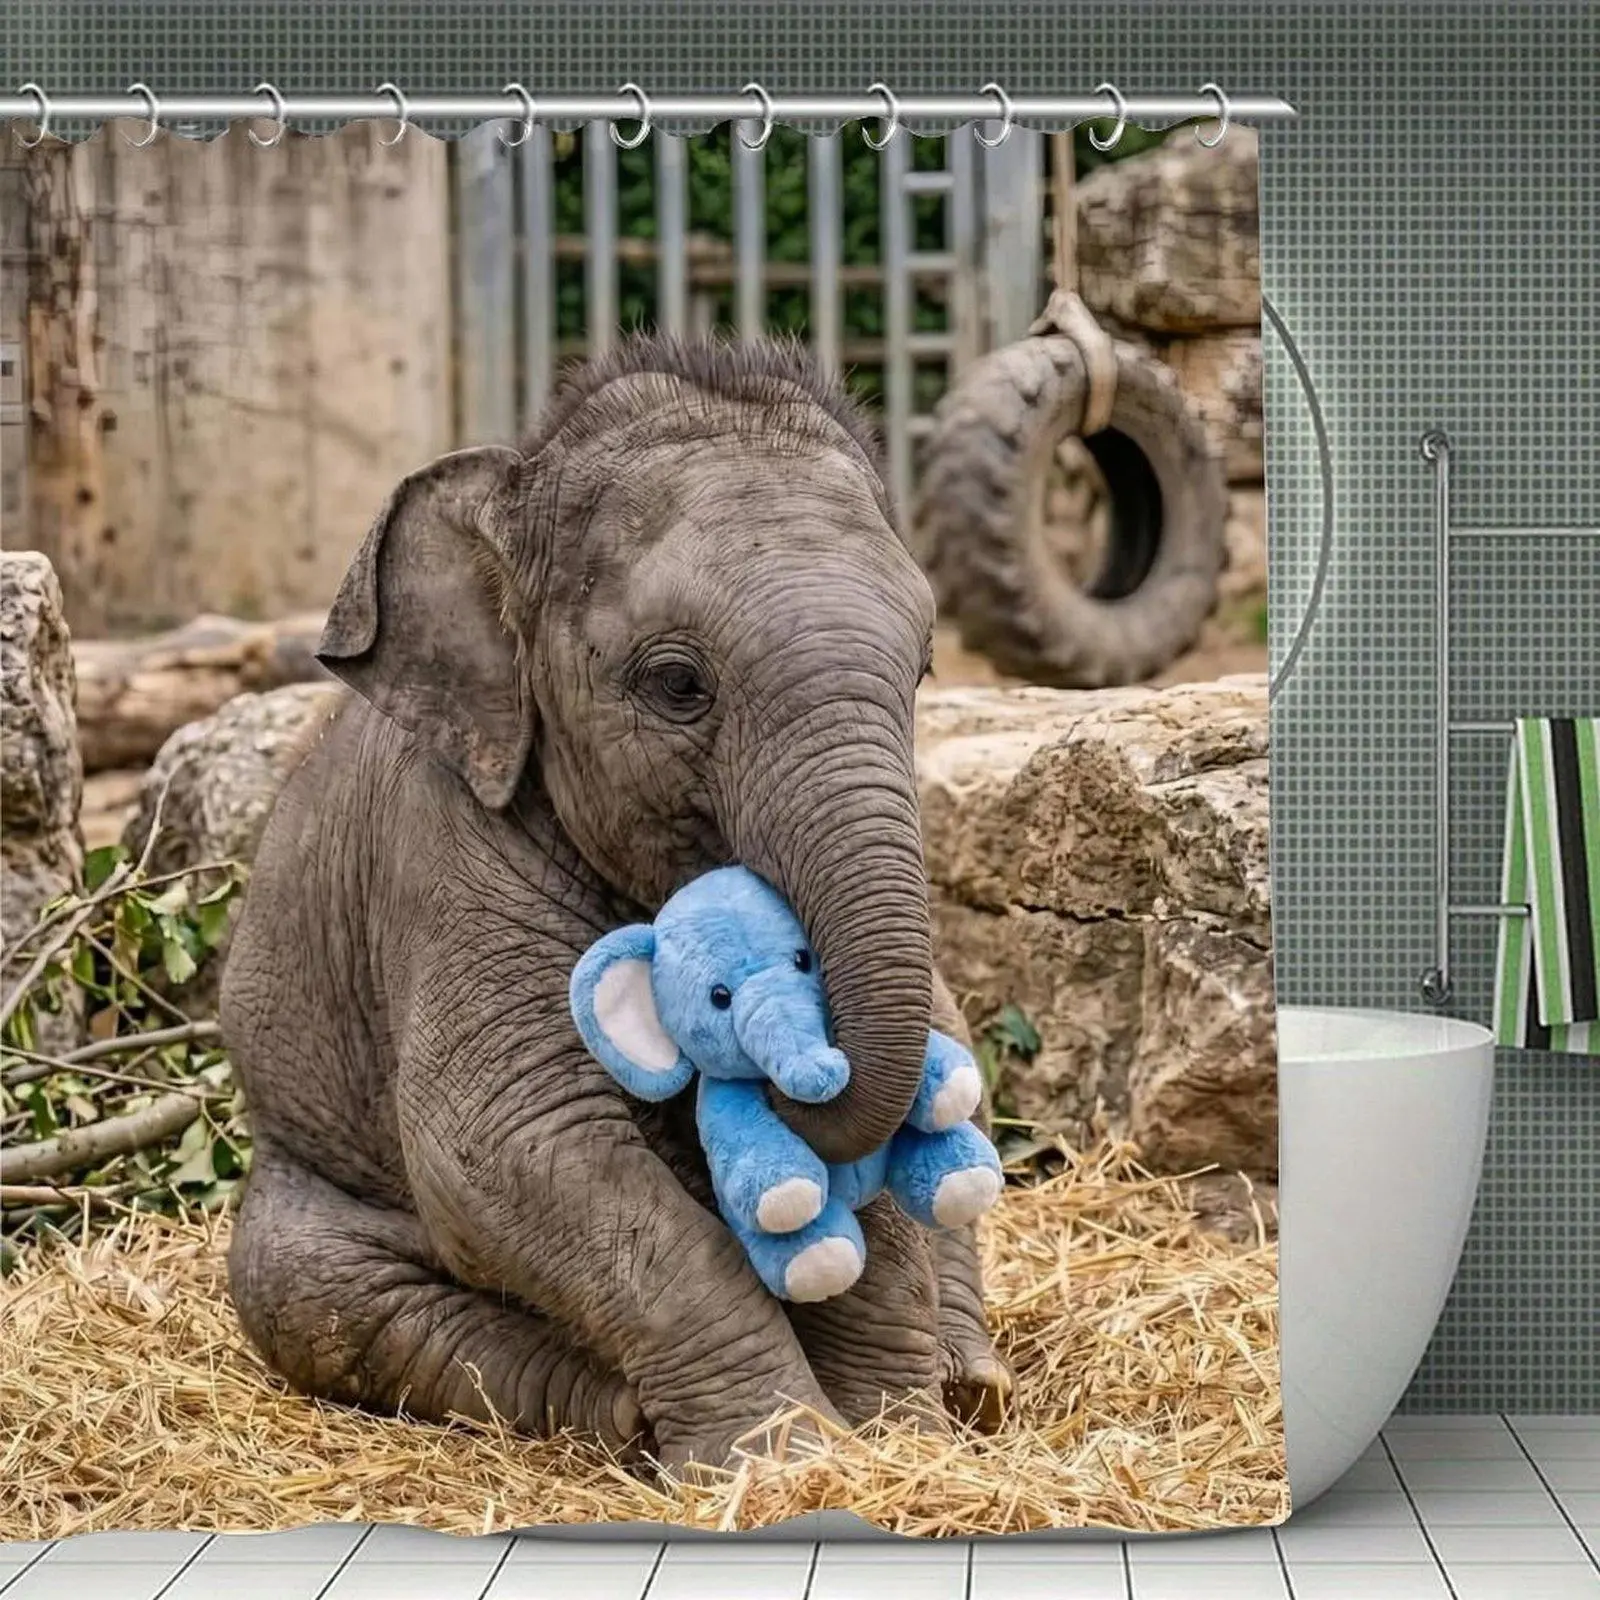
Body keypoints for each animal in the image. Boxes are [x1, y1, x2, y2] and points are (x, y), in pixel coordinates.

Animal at [219, 332, 1013, 1473]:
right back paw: (620, 1419)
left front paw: (894, 1434)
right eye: (677, 683)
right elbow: (511, 1140)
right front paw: (783, 1459)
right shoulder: (447, 857)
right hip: (300, 1194)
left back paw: (973, 1385)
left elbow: (923, 1083)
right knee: (305, 1288)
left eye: (923, 670)